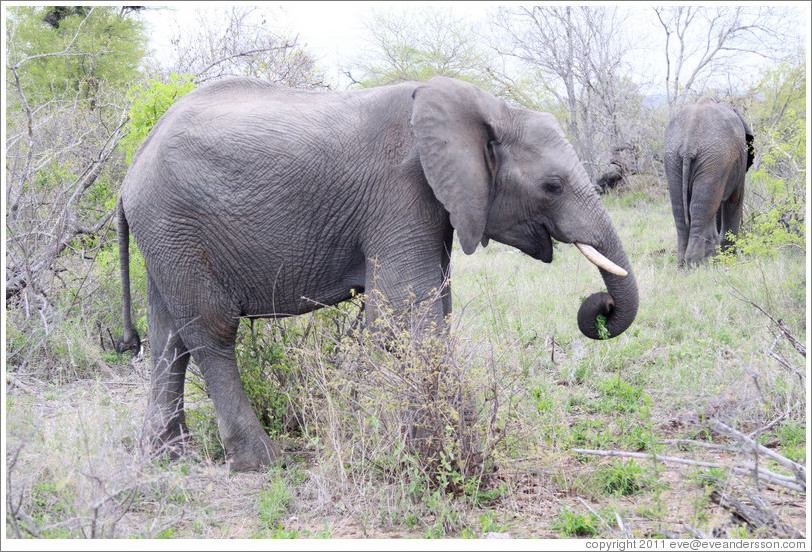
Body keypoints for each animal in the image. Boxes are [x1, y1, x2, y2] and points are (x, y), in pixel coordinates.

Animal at [116, 76, 639, 472]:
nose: (601, 306)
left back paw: (165, 456)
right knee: (211, 331)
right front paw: (444, 450)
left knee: (168, 336)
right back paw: (262, 463)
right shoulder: (401, 192)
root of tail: (130, 170)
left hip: (166, 236)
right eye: (552, 186)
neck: (487, 107)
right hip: (174, 223)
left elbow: (430, 308)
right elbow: (408, 312)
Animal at [664, 97, 755, 267]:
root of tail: (688, 143)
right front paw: (730, 259)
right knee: (703, 208)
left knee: (682, 210)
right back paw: (699, 264)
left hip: (673, 158)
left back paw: (684, 265)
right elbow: (734, 200)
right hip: (714, 158)